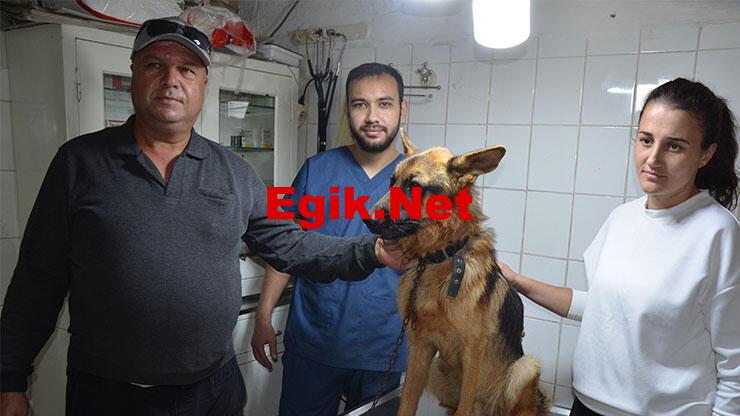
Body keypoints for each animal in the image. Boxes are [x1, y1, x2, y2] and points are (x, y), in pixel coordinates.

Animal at [364, 129, 550, 416]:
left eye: (415, 186)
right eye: (391, 182)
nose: (367, 218)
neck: (438, 259)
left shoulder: (473, 350)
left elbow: (465, 403)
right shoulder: (419, 346)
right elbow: (406, 401)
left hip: (525, 368)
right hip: (436, 370)